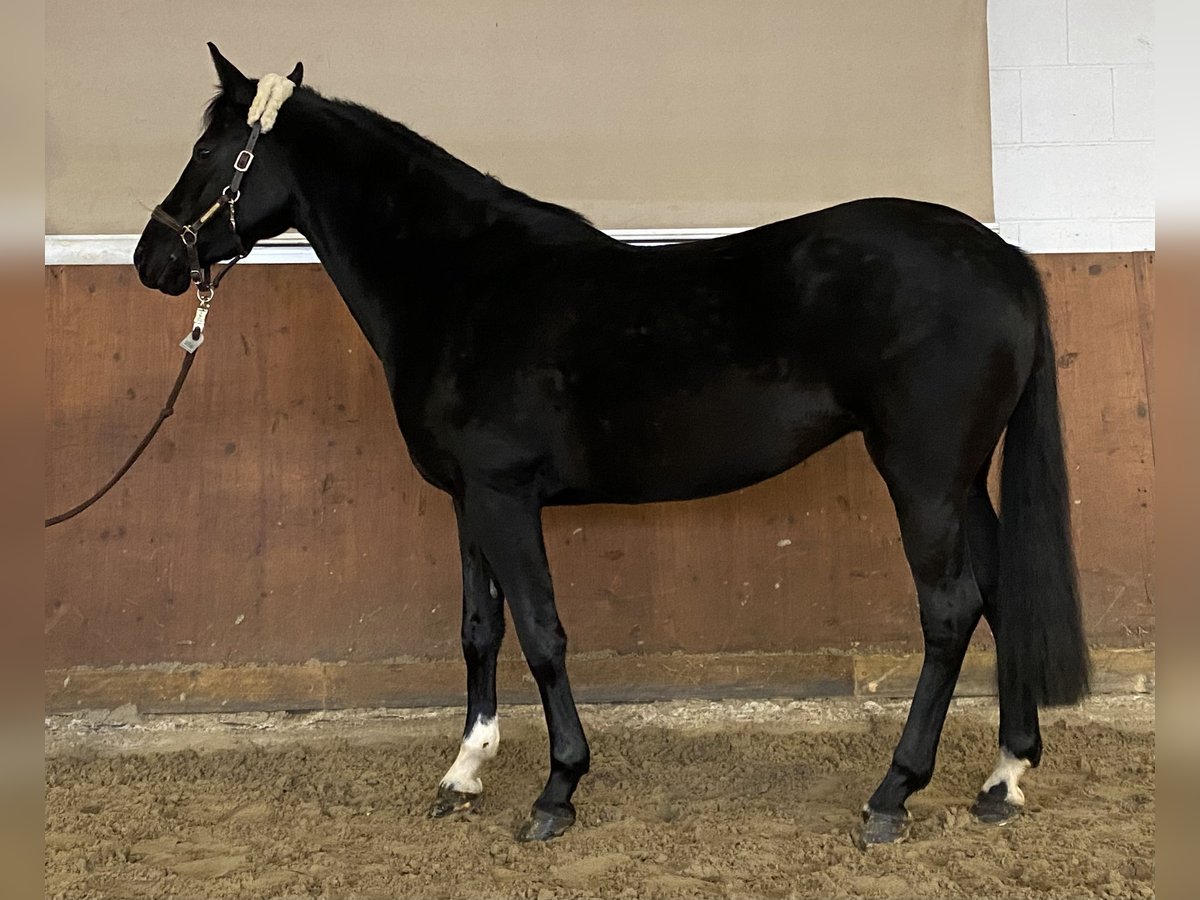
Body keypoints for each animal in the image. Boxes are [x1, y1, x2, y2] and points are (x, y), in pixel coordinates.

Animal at [136, 45, 1094, 849]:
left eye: (211, 153)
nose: (153, 259)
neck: (466, 284)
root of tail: (1003, 255)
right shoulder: (469, 498)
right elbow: (480, 628)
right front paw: (465, 771)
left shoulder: (505, 496)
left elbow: (542, 633)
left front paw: (556, 790)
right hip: (962, 481)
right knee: (1002, 593)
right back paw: (1003, 777)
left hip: (921, 476)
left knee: (950, 610)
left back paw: (894, 793)